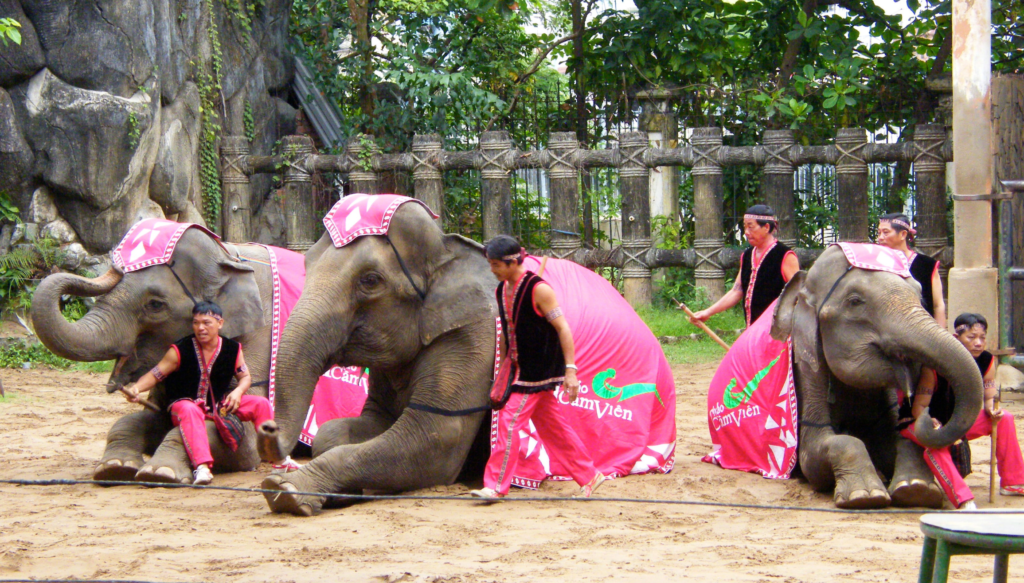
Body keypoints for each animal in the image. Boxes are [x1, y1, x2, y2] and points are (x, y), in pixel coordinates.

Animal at [34, 229, 278, 483]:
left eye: (155, 305)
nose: (117, 266)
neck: (227, 255)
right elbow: (147, 418)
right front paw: (115, 467)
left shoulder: (260, 338)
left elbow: (240, 435)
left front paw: (161, 472)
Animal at [256, 198, 495, 514]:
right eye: (306, 265)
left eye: (370, 280)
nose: (268, 426)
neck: (447, 250)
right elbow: (342, 429)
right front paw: (339, 493)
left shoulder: (472, 335)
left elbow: (437, 434)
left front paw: (285, 491)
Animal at [770, 242, 978, 506]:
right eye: (855, 301)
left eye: (920, 295)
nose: (928, 417)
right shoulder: (806, 369)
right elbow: (816, 454)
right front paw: (864, 496)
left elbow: (895, 441)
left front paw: (916, 490)